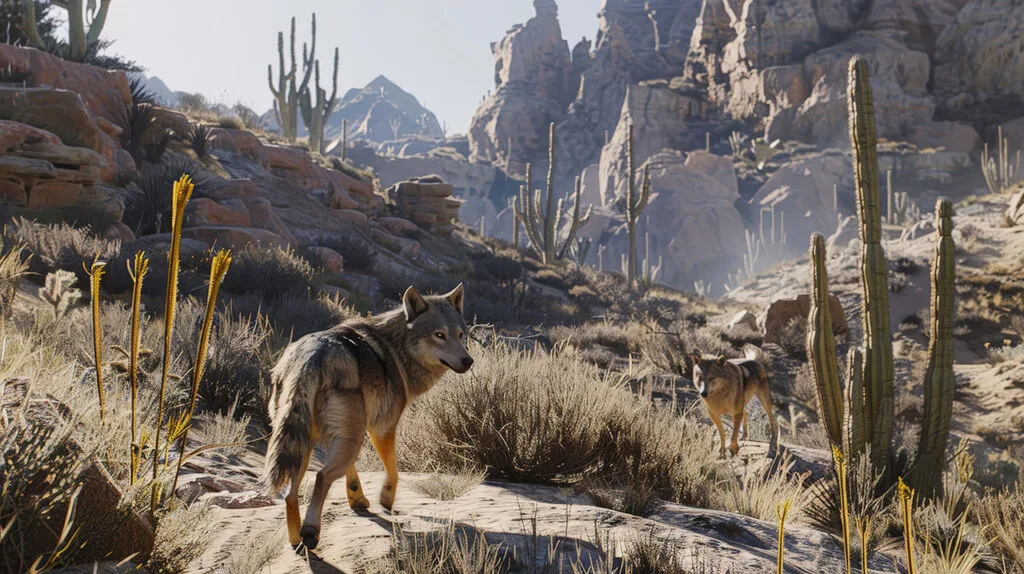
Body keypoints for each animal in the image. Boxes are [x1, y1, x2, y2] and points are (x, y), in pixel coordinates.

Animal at [264, 283, 472, 550]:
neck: (397, 351)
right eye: (439, 335)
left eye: (460, 335)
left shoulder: (343, 435)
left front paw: (357, 498)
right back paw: (310, 532)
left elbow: (352, 471)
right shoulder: (382, 428)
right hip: (344, 440)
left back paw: (296, 540)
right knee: (321, 478)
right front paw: (385, 499)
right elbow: (393, 471)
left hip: (305, 443)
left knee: (291, 494)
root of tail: (310, 357)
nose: (468, 361)